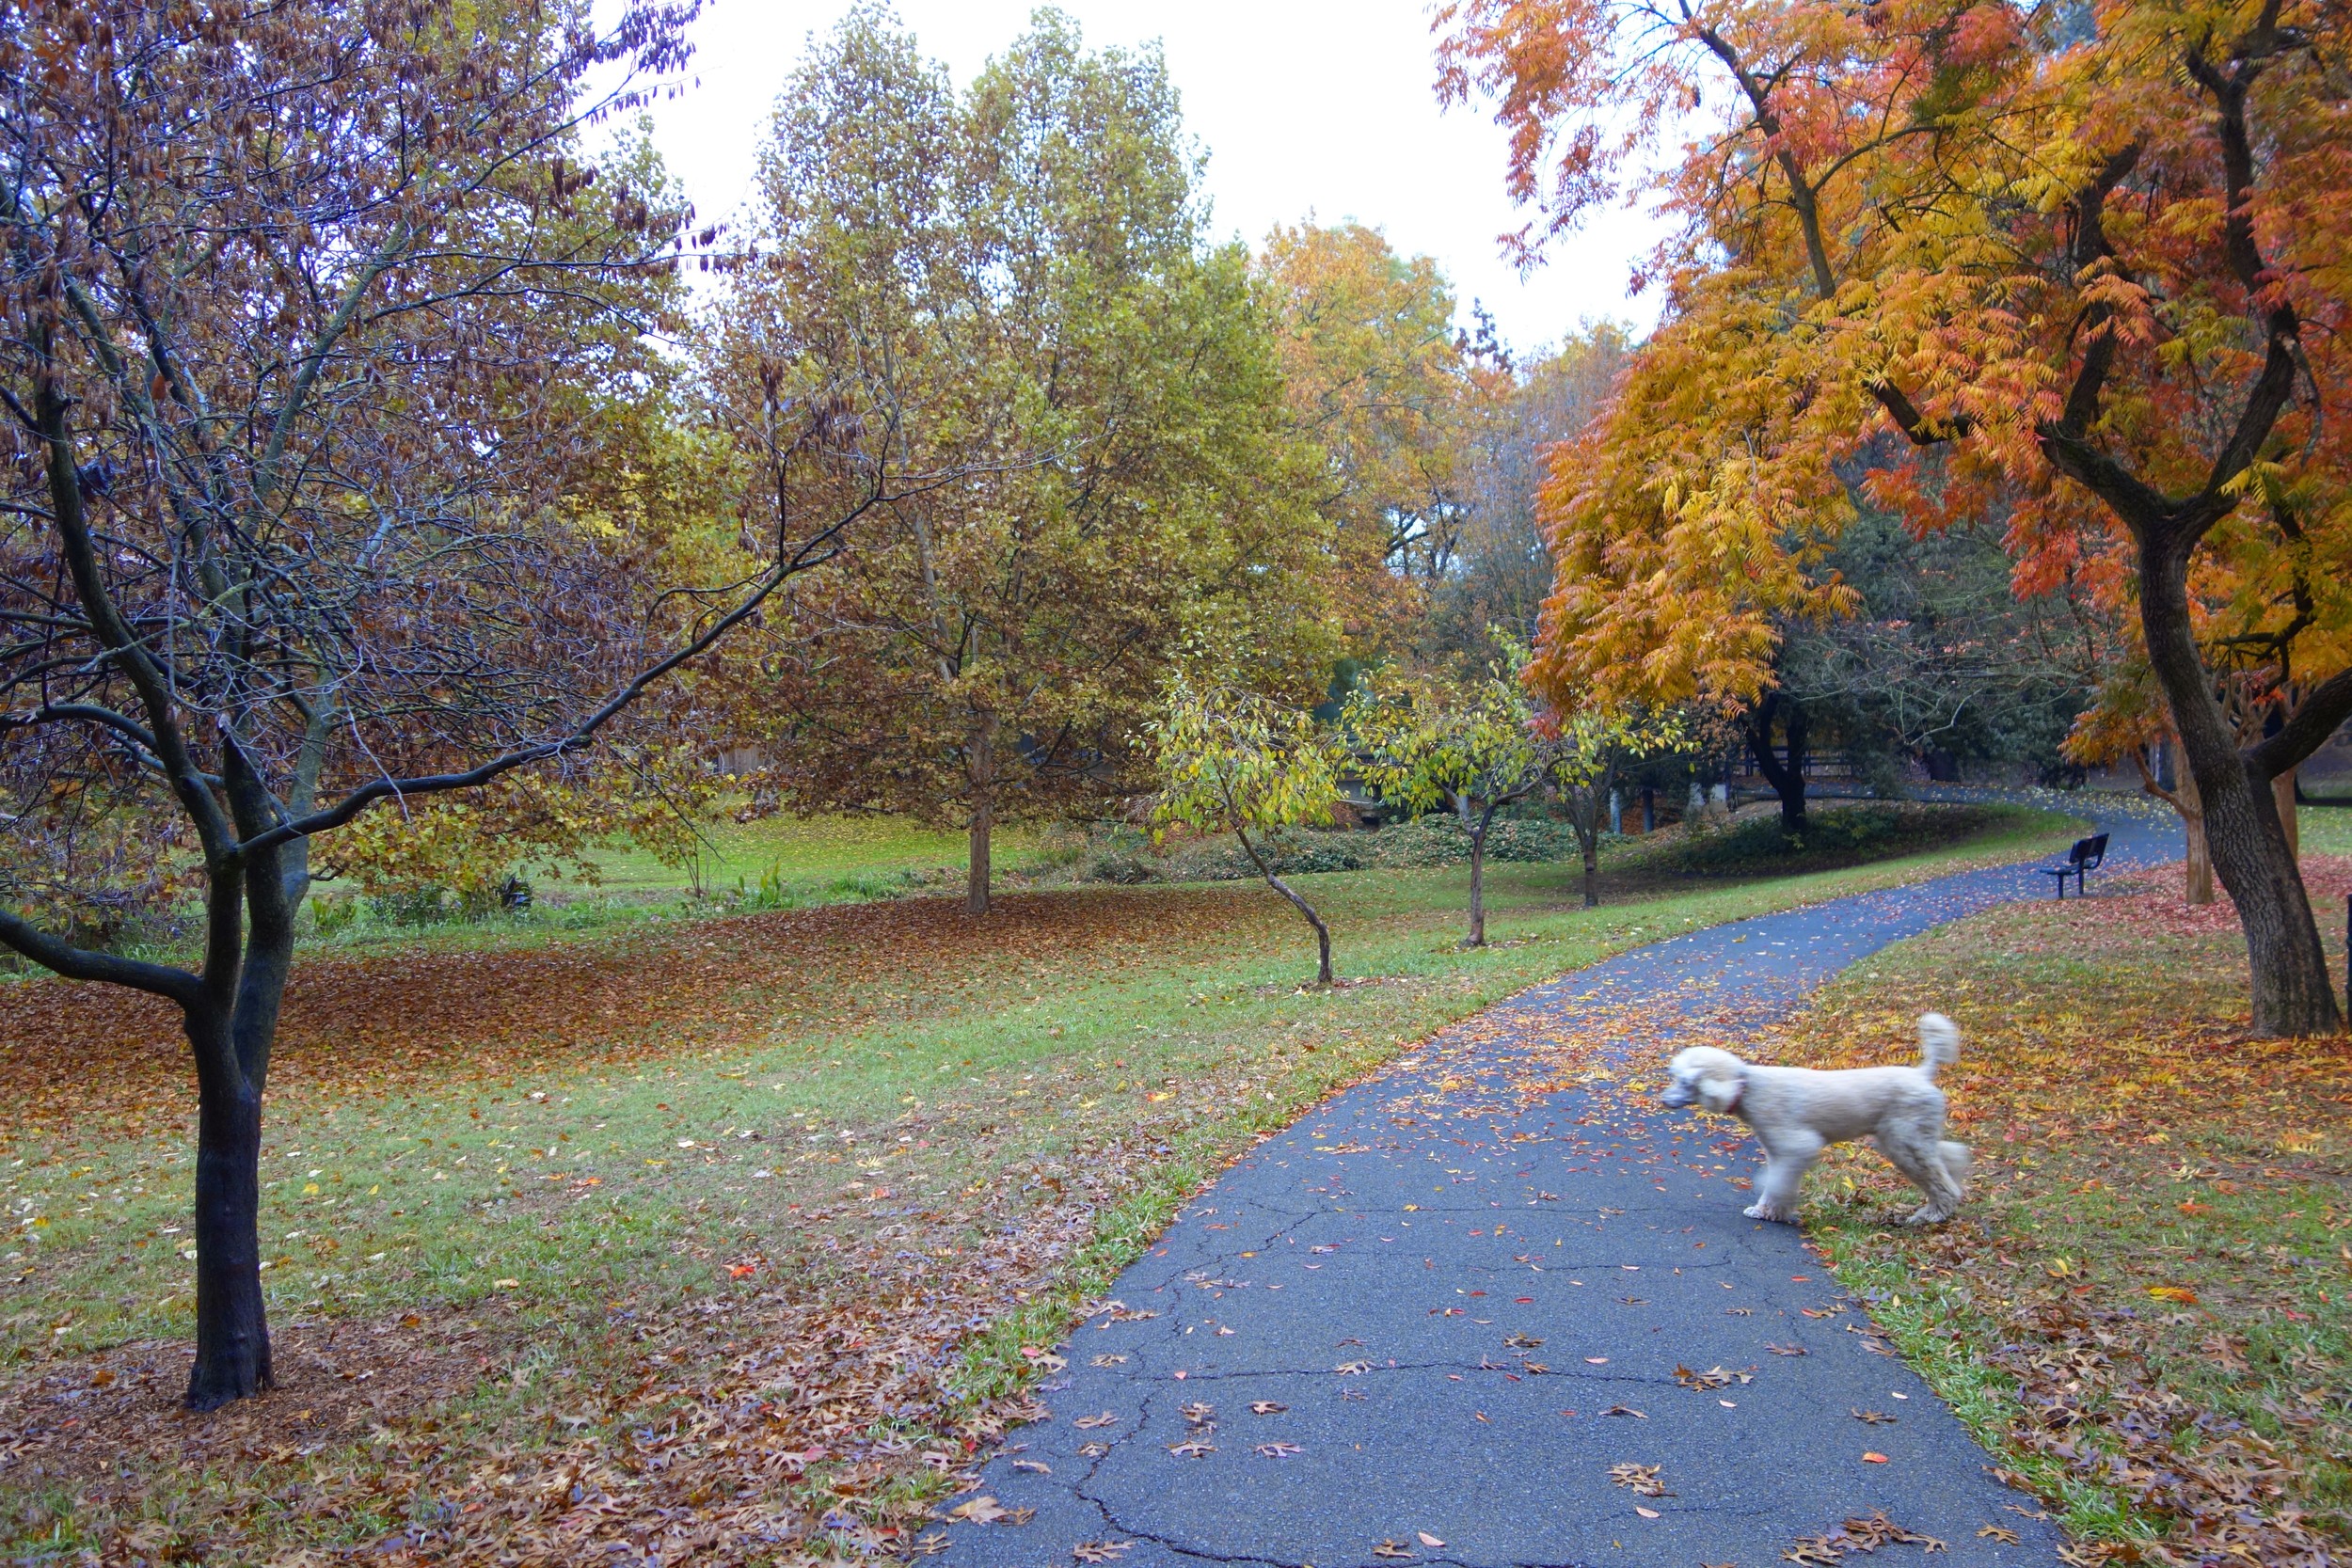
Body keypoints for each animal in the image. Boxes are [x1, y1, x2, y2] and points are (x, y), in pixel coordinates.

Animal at [1665, 1020, 1976, 1222]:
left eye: (1686, 1082)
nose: (1664, 1099)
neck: (1747, 1087)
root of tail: (1922, 1074)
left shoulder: (1798, 1146)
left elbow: (1777, 1181)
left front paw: (1769, 1209)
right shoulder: (1779, 1152)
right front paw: (1771, 1211)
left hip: (1905, 1139)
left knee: (1939, 1178)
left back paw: (1934, 1213)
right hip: (1906, 1137)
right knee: (1951, 1155)